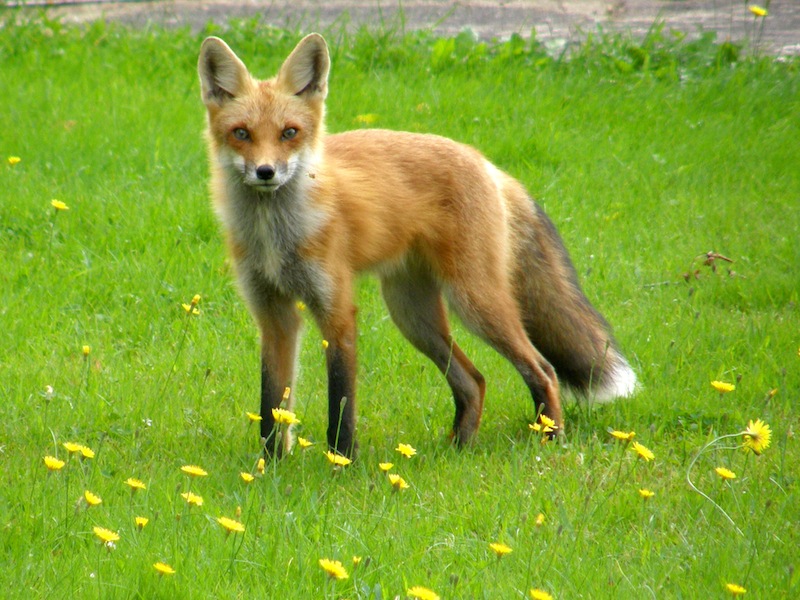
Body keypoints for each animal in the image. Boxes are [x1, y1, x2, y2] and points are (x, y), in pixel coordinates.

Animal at [198, 33, 636, 458]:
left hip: (474, 302)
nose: (266, 172)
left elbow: (340, 403)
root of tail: (487, 163)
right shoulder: (273, 315)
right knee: (474, 380)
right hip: (412, 315)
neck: (275, 235)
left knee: (543, 370)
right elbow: (272, 404)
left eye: (289, 132)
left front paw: (342, 464)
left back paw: (549, 442)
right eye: (241, 134)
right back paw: (459, 450)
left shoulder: (337, 310)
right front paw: (269, 467)